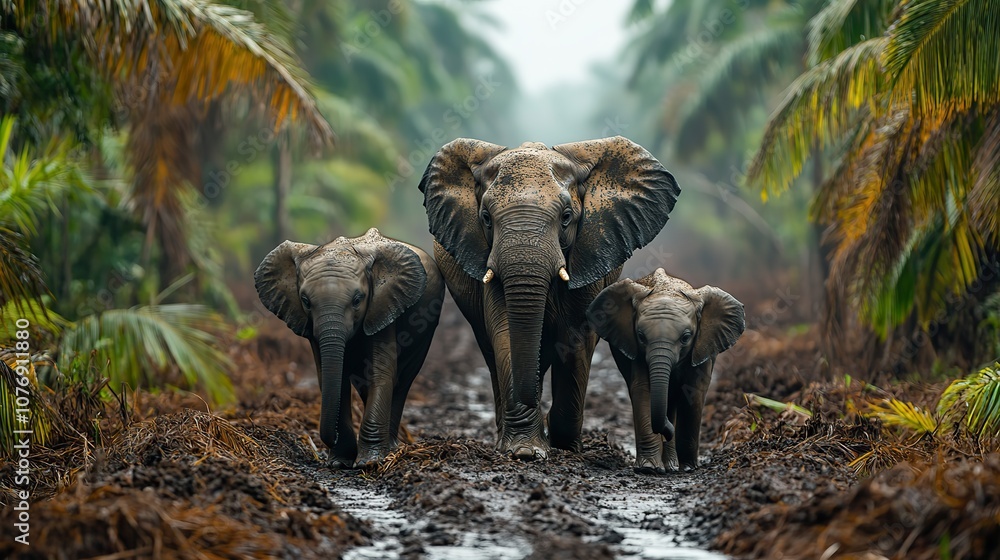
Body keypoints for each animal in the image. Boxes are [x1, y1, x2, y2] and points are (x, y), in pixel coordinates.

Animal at [254, 228, 444, 468]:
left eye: (357, 299)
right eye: (305, 300)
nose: (329, 439)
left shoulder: (383, 305)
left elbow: (380, 373)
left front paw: (369, 463)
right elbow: (332, 376)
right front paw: (340, 462)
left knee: (402, 382)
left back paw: (391, 448)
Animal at [419, 136, 679, 460]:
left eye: (566, 218)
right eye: (486, 219)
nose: (531, 403)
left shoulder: (590, 252)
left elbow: (575, 334)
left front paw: (563, 445)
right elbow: (505, 329)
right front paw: (526, 451)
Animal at [587, 268, 745, 473]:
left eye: (686, 337)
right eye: (641, 336)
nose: (668, 431)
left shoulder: (702, 346)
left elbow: (694, 391)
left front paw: (688, 468)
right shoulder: (637, 350)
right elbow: (642, 388)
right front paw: (649, 468)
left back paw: (673, 465)